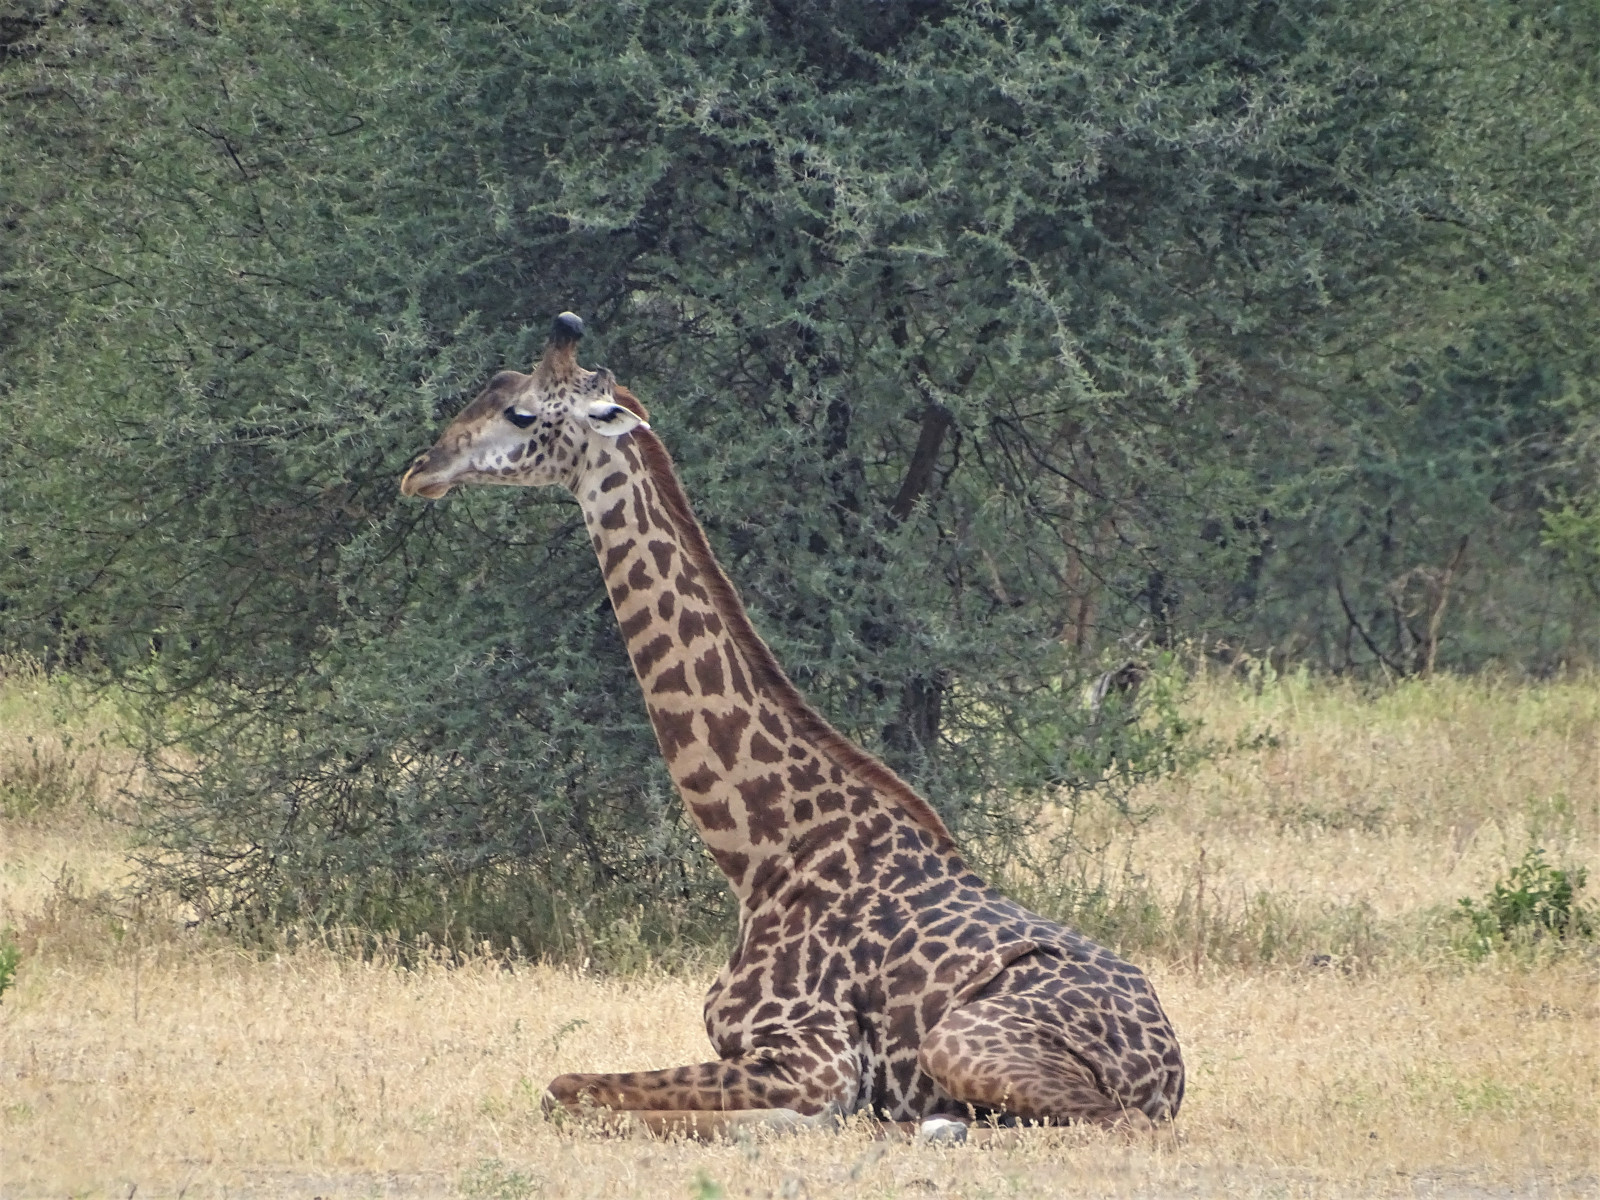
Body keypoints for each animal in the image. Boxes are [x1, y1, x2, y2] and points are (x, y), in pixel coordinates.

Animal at [393, 310, 1184, 1139]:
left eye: (520, 413)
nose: (421, 468)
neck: (763, 856)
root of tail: (1170, 1069)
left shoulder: (815, 1058)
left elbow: (571, 1091)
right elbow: (572, 1087)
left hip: (967, 1041)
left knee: (1099, 1124)